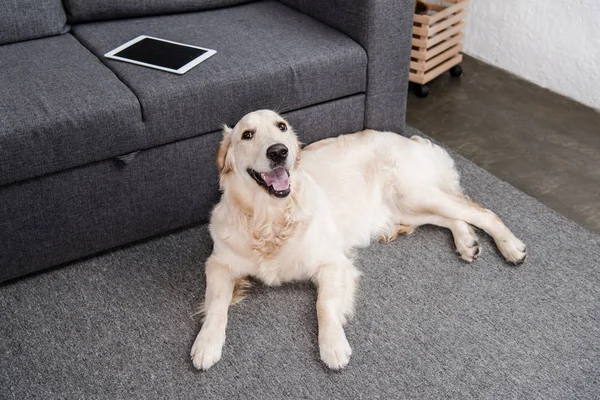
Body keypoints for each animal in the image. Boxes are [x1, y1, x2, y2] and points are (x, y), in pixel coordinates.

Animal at [191, 110, 524, 372]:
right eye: (247, 134)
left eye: (281, 126)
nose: (279, 151)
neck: (269, 218)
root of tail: (409, 139)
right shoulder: (218, 264)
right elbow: (217, 301)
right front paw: (206, 343)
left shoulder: (332, 263)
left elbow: (324, 305)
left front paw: (333, 346)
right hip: (407, 206)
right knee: (452, 217)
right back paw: (467, 241)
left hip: (414, 193)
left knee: (481, 212)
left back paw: (511, 247)